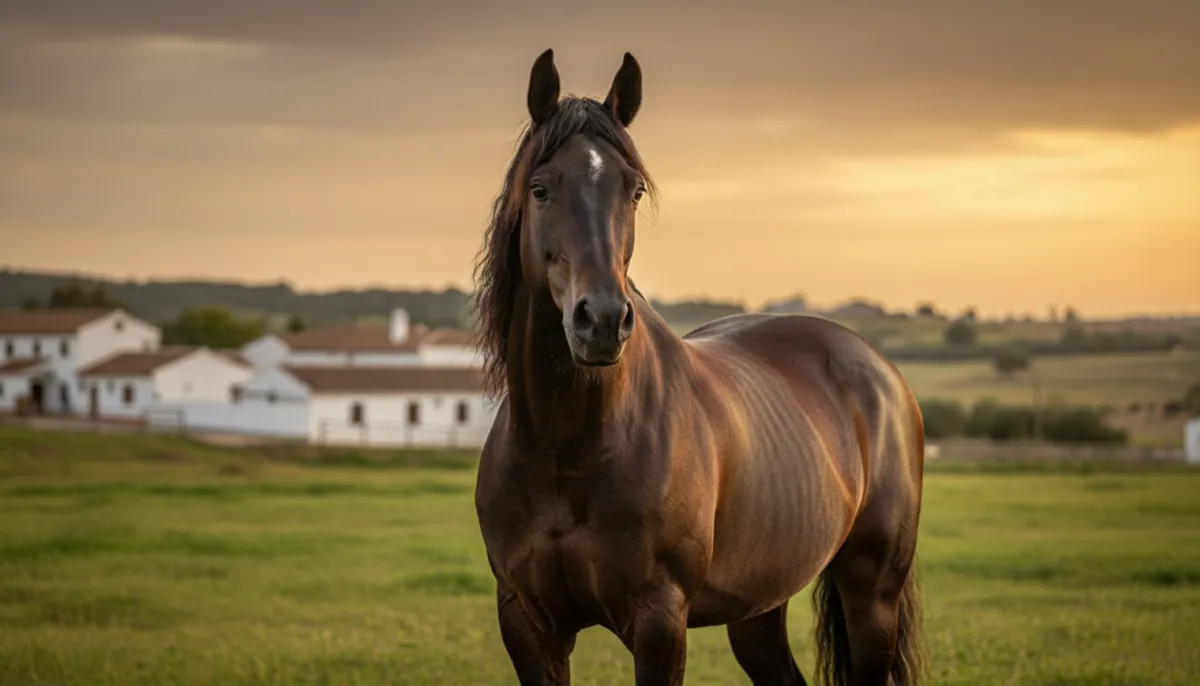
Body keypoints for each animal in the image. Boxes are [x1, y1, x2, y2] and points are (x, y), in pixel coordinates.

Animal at [472, 48, 927, 686]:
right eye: (540, 188)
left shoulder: (660, 623)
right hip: (759, 606)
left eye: (634, 190)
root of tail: (881, 373)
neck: (567, 448)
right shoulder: (527, 623)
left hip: (872, 597)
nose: (602, 320)